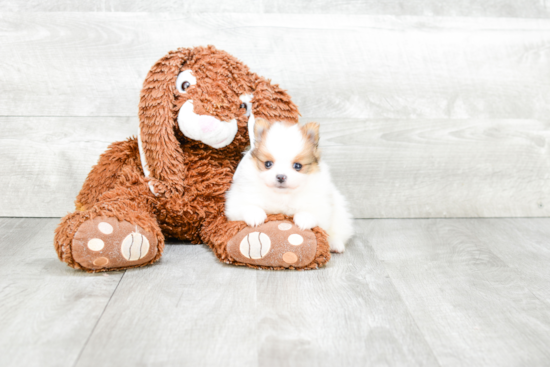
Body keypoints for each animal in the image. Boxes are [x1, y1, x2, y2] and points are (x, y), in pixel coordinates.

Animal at [226, 119, 356, 254]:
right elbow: (246, 206)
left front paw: (304, 219)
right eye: (268, 164)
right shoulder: (237, 199)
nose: (281, 176)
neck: (282, 194)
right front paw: (255, 215)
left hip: (340, 214)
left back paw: (335, 245)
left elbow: (312, 211)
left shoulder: (322, 204)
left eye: (297, 166)